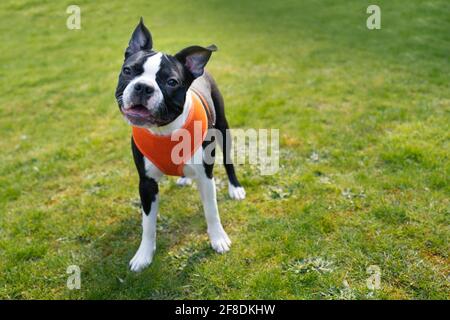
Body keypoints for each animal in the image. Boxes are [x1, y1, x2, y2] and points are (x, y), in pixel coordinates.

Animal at [114, 18, 244, 272]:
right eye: (128, 71)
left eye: (171, 82)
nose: (143, 87)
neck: (165, 130)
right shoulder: (146, 184)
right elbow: (148, 224)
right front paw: (144, 255)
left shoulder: (206, 176)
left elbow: (211, 211)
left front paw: (218, 239)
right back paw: (184, 178)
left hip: (223, 130)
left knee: (229, 162)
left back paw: (235, 188)